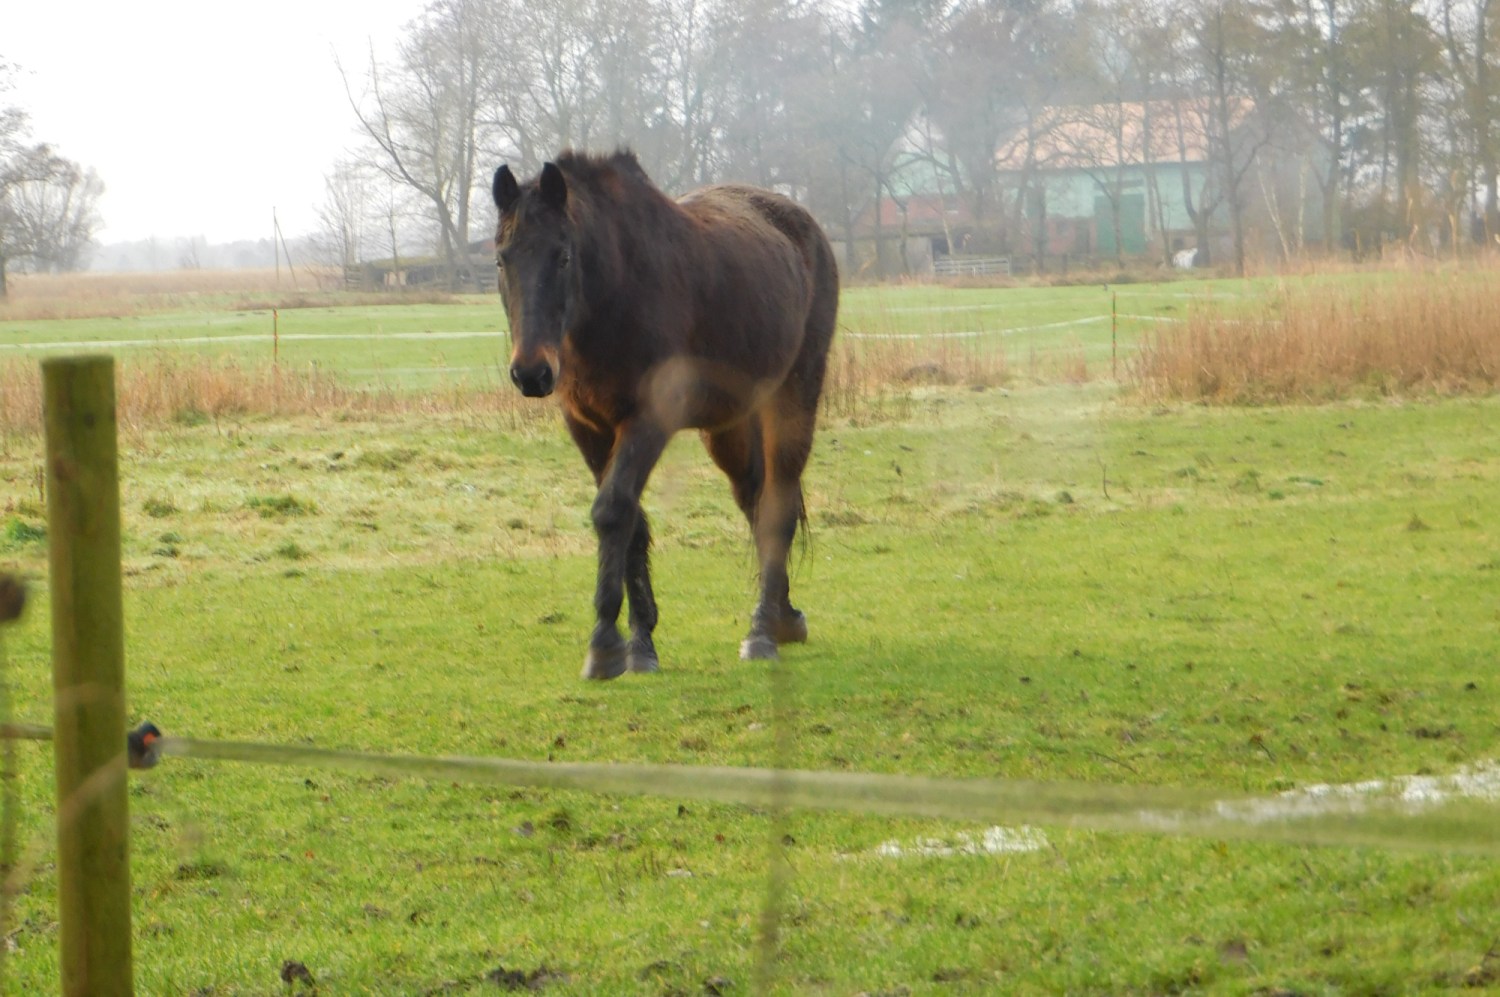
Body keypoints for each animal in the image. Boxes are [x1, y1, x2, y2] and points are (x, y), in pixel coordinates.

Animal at [491, 150, 839, 680]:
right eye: (502, 258)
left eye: (563, 256)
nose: (531, 373)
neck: (617, 293)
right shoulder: (589, 427)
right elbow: (632, 522)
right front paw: (640, 642)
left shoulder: (648, 419)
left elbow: (613, 510)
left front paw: (605, 644)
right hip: (730, 427)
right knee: (754, 500)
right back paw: (784, 617)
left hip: (794, 398)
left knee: (777, 505)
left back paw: (762, 632)